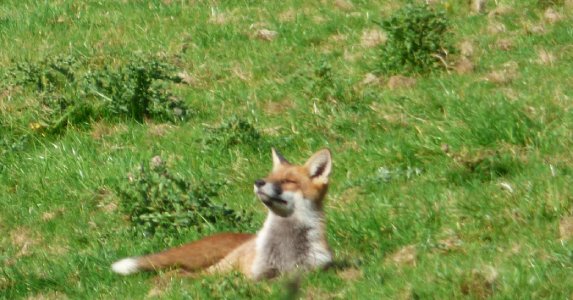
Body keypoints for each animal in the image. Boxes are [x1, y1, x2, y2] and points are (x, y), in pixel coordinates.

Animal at [111, 149, 332, 280]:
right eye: (269, 176)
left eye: (288, 181)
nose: (258, 182)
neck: (286, 248)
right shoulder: (254, 274)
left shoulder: (311, 270)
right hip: (220, 269)